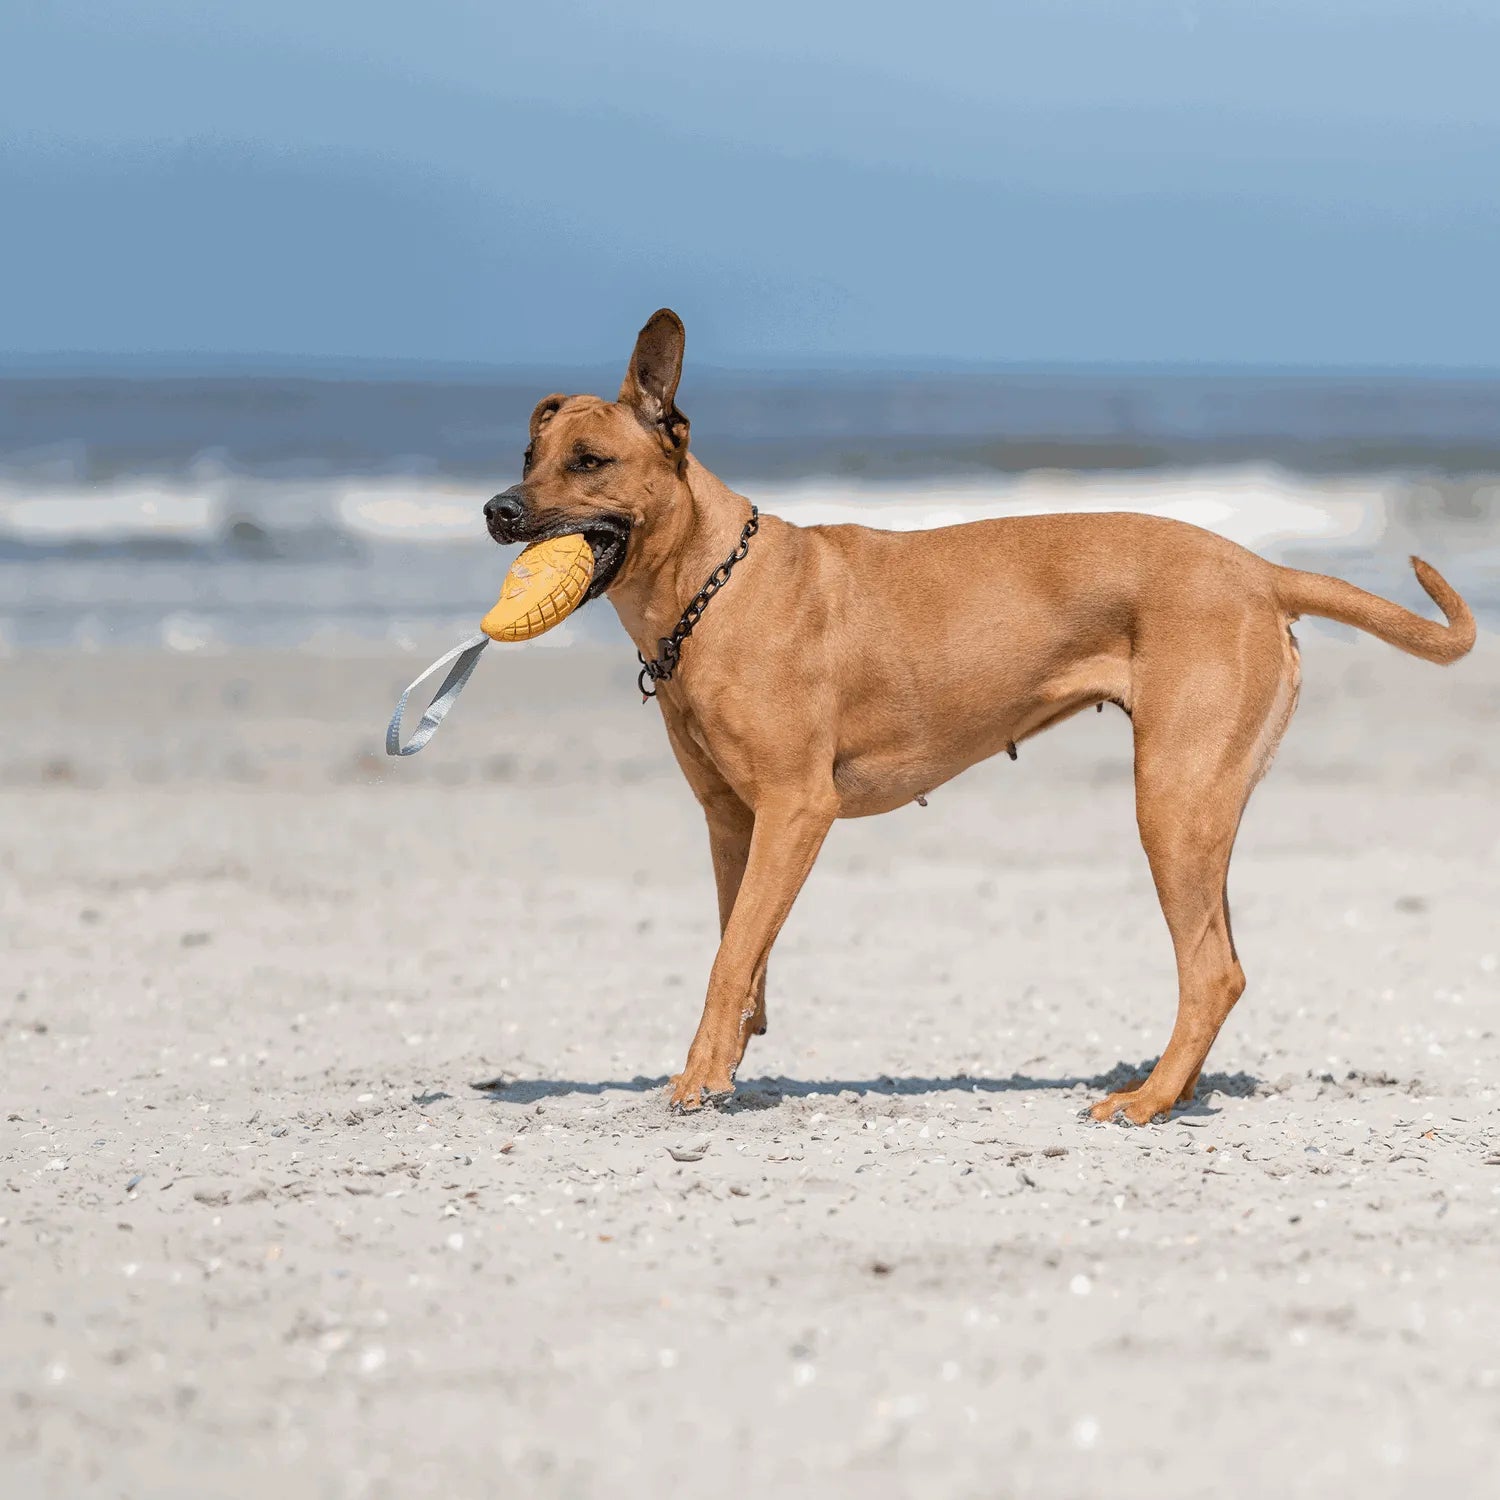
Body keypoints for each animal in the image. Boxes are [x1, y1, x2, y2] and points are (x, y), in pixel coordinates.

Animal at [483, 307, 1476, 1128]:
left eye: (590, 462)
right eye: (529, 458)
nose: (497, 510)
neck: (709, 585)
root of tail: (1257, 567)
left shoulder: (797, 809)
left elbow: (729, 958)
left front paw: (697, 1080)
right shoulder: (733, 820)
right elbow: (742, 945)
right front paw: (730, 1057)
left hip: (1171, 800)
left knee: (1211, 970)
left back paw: (1148, 1100)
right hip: (1203, 807)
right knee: (1220, 960)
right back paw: (1173, 1089)